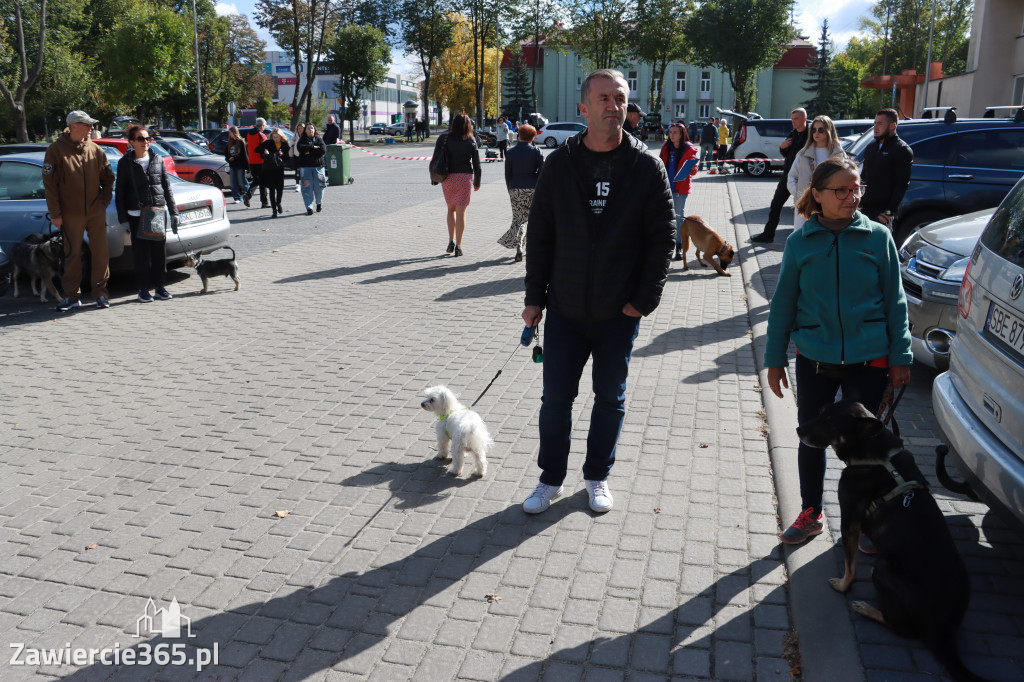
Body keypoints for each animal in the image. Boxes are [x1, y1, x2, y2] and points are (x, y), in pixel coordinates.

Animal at [798, 399, 983, 679]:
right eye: (821, 413)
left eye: (830, 422)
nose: (799, 430)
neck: (875, 454)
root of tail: (943, 631)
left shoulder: (849, 522)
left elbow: (850, 565)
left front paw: (843, 585)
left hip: (882, 569)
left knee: (903, 629)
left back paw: (867, 609)